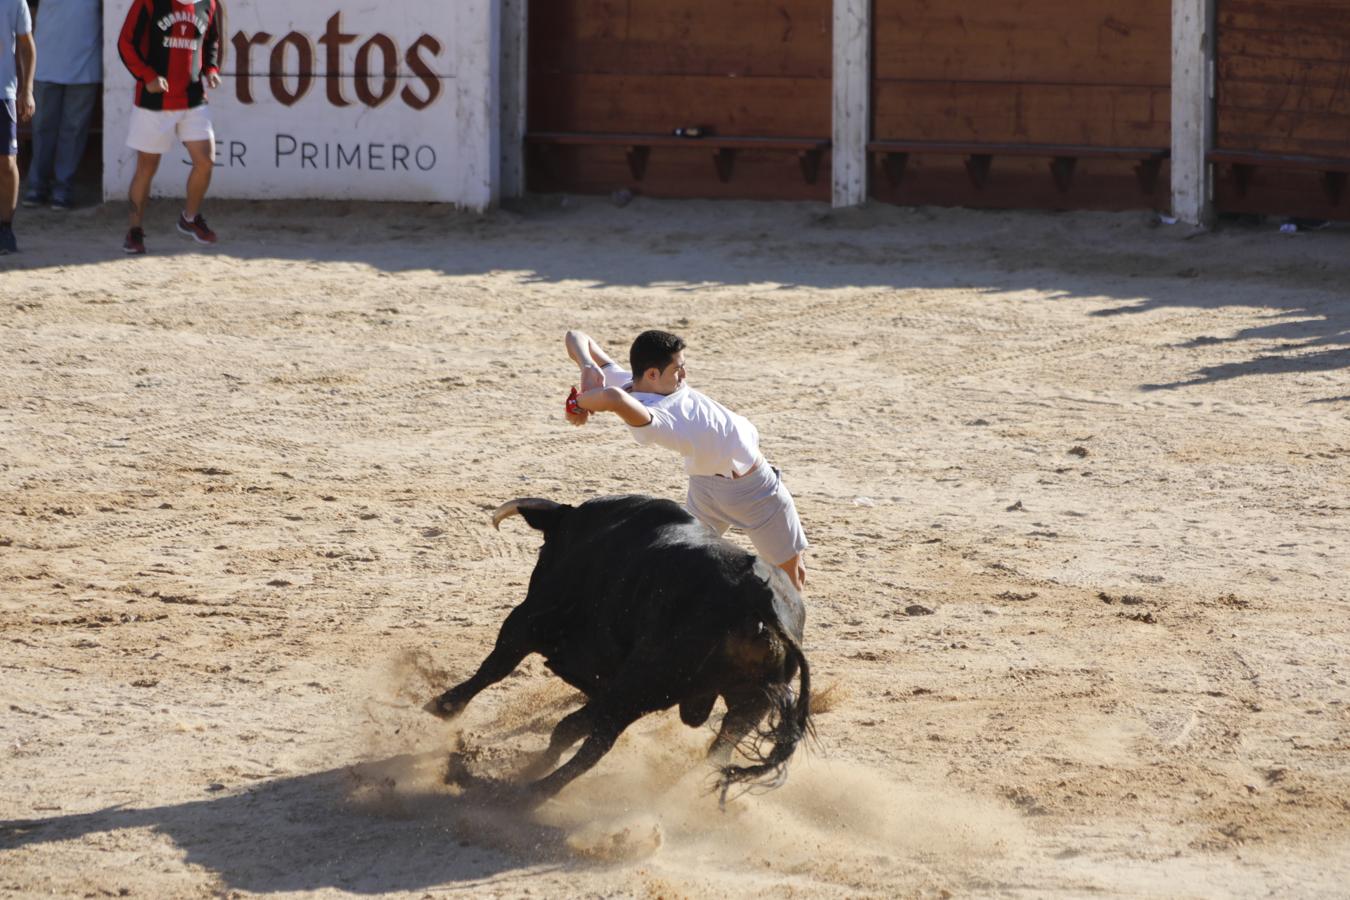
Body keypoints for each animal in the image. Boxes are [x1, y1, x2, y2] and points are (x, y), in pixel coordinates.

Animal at [421, 496, 810, 804]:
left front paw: (444, 706)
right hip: (741, 705)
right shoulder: (609, 684)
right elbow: (571, 723)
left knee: (597, 745)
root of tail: (757, 597)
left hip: (639, 684)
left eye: (545, 547)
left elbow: (495, 666)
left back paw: (537, 791)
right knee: (715, 753)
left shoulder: (530, 619)